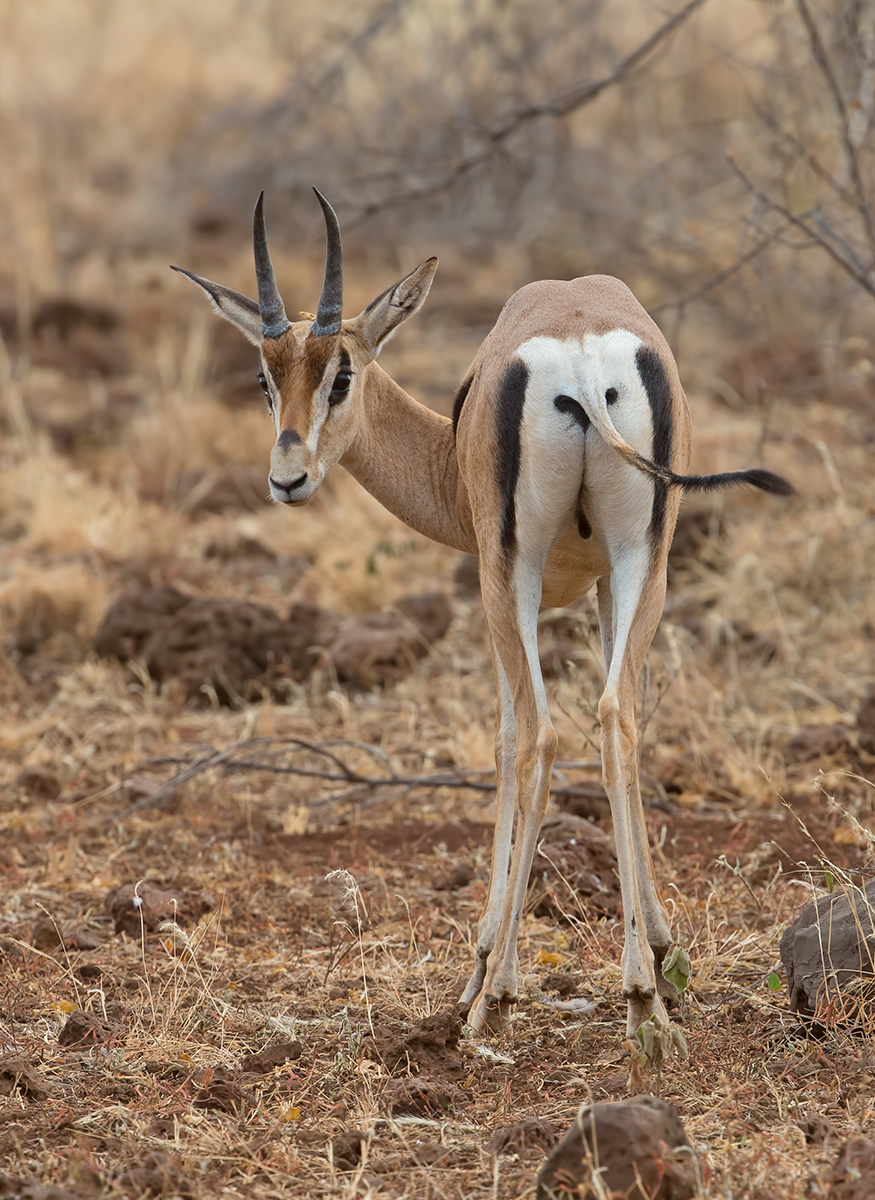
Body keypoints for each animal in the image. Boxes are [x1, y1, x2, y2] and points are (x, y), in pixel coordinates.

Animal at [174, 191, 793, 1050]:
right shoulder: (608, 582)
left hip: (514, 576)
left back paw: (494, 997)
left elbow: (503, 742)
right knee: (613, 717)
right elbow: (621, 722)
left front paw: (479, 971)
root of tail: (580, 356)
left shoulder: (496, 580)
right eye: (266, 380)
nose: (288, 477)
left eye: (341, 375)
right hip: (646, 559)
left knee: (536, 735)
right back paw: (641, 994)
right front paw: (666, 956)